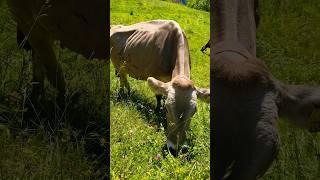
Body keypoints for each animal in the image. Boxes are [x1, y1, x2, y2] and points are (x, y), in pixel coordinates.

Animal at [110, 19, 210, 155]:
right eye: (167, 109)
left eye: (194, 112)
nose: (176, 149)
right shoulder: (157, 76)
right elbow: (158, 97)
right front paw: (158, 111)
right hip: (117, 63)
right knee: (122, 80)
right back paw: (122, 95)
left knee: (124, 79)